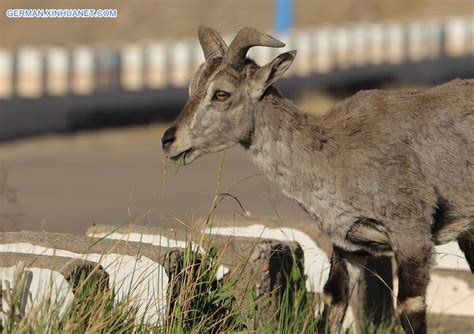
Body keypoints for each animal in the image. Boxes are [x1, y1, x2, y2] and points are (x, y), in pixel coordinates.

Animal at [162, 26, 474, 334]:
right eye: (192, 88)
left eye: (221, 94)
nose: (169, 140)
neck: (334, 154)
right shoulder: (348, 246)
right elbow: (332, 303)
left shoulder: (412, 235)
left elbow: (409, 308)